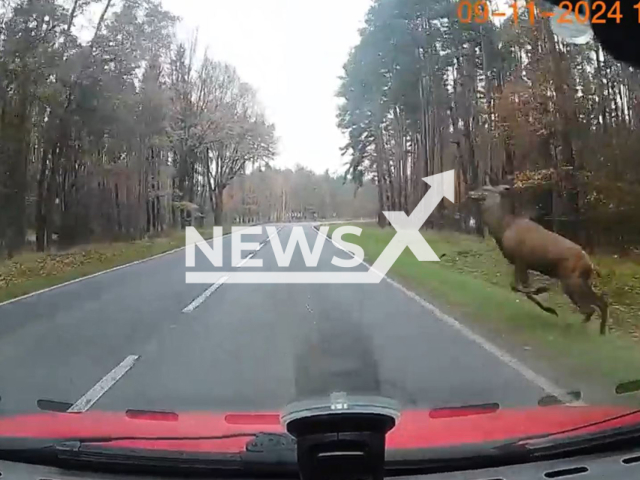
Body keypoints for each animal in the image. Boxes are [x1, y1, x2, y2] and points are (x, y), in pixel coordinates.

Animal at [470, 186, 608, 336]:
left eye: (485, 188)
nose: (471, 193)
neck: (503, 228)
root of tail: (591, 265)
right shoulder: (519, 263)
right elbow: (517, 287)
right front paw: (546, 301)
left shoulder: (521, 260)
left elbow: (520, 287)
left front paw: (546, 300)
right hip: (580, 280)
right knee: (600, 303)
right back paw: (601, 331)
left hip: (571, 280)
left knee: (590, 308)